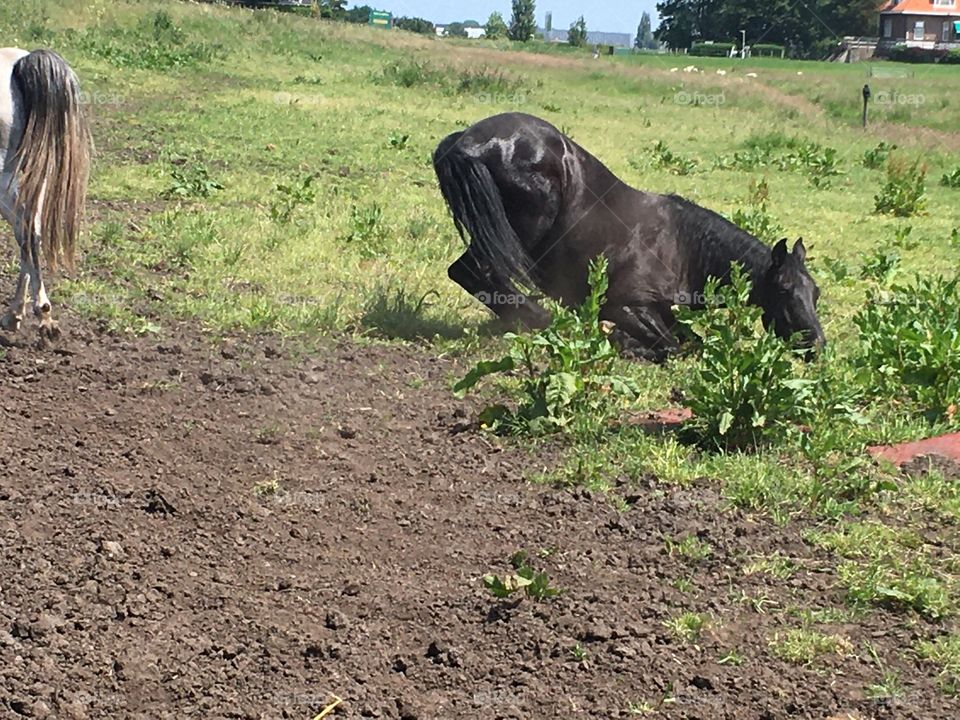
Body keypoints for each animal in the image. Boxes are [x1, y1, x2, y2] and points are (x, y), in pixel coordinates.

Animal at [433, 112, 824, 362]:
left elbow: (688, 341)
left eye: (816, 292)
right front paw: (624, 343)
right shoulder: (626, 305)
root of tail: (465, 141)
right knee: (473, 273)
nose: (817, 346)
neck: (683, 247)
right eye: (784, 290)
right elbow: (672, 346)